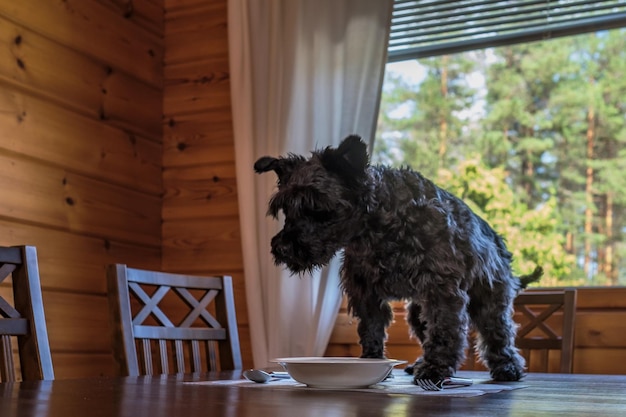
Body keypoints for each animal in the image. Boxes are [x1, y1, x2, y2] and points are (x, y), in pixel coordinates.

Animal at [254, 134, 540, 384]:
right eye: (285, 209)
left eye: (317, 207)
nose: (282, 248)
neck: (378, 226)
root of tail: (499, 243)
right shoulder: (366, 292)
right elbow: (371, 330)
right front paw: (371, 362)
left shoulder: (443, 291)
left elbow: (445, 331)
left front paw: (436, 368)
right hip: (417, 312)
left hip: (488, 300)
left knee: (498, 334)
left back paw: (507, 367)